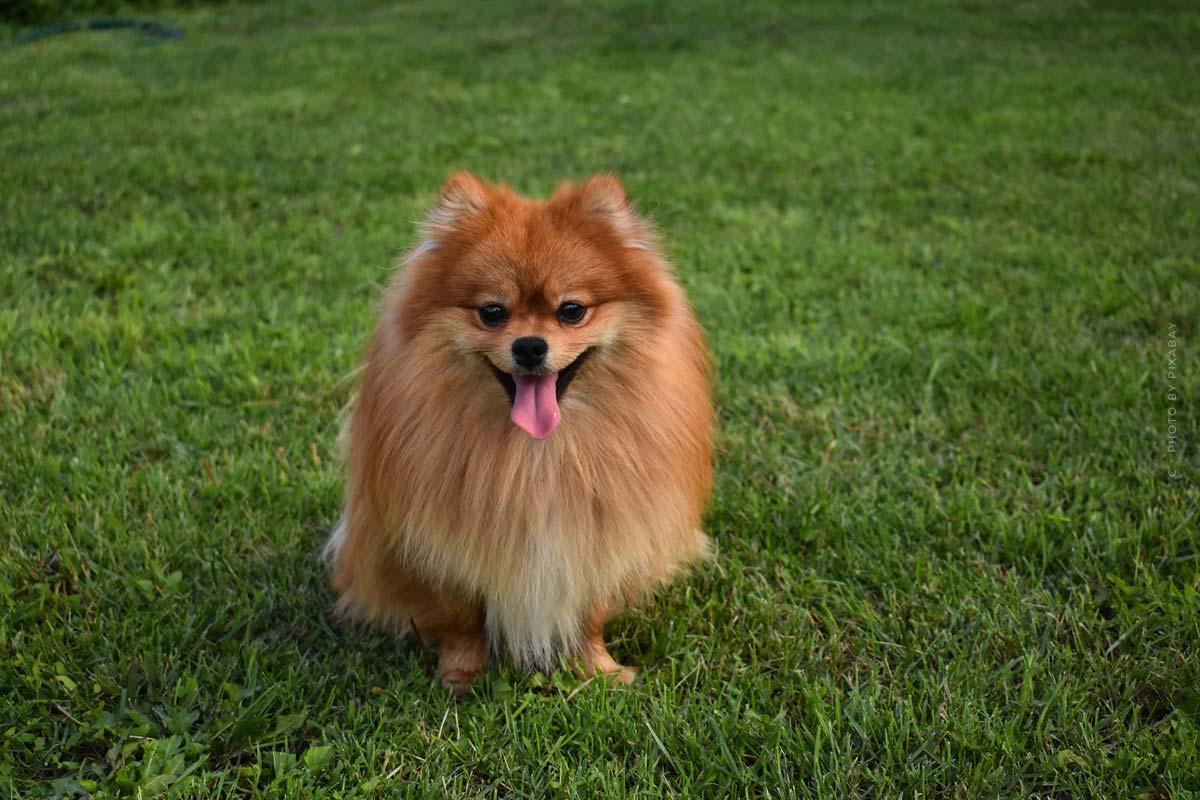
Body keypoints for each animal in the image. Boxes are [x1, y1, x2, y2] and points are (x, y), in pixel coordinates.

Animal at [324, 173, 710, 695]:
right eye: (492, 312)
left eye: (571, 311)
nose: (529, 346)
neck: (537, 454)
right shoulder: (442, 543)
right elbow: (460, 618)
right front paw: (462, 674)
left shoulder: (596, 534)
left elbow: (589, 614)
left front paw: (598, 670)